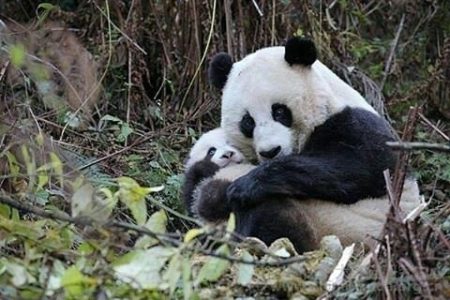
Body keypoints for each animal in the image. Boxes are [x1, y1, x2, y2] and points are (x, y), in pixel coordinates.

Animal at [204, 37, 422, 247]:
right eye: (248, 122)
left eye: (279, 111)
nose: (271, 151)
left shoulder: (357, 124)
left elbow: (359, 167)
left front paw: (243, 187)